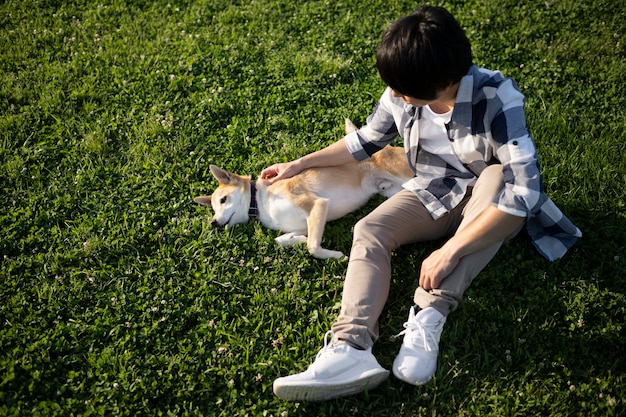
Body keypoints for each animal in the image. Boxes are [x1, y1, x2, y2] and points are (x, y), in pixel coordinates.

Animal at [193, 118, 412, 258]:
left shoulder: (316, 204)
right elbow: (283, 240)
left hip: (404, 174)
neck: (260, 202)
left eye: (223, 200)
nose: (213, 222)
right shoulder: (307, 221)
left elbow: (312, 247)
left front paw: (334, 255)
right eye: (213, 209)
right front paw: (295, 239)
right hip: (392, 191)